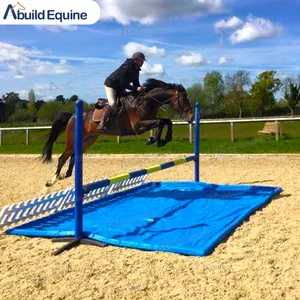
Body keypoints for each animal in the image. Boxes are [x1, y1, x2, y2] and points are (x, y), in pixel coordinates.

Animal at [42, 79, 195, 188]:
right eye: (183, 99)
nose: (191, 117)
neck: (146, 101)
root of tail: (72, 116)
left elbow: (166, 121)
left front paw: (161, 140)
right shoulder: (138, 127)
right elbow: (162, 122)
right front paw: (155, 140)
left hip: (87, 140)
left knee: (74, 156)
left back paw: (65, 175)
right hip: (72, 140)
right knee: (62, 158)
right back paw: (52, 181)